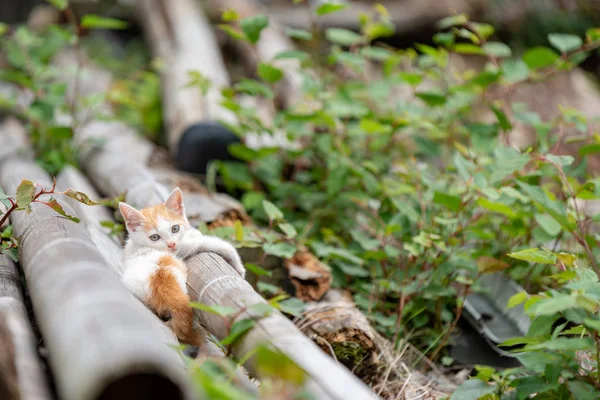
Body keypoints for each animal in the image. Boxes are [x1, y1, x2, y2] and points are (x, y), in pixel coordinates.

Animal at [118, 188, 245, 346]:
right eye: (154, 237)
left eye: (175, 228)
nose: (171, 244)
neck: (138, 245)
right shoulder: (182, 250)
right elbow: (207, 242)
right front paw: (237, 264)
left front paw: (191, 232)